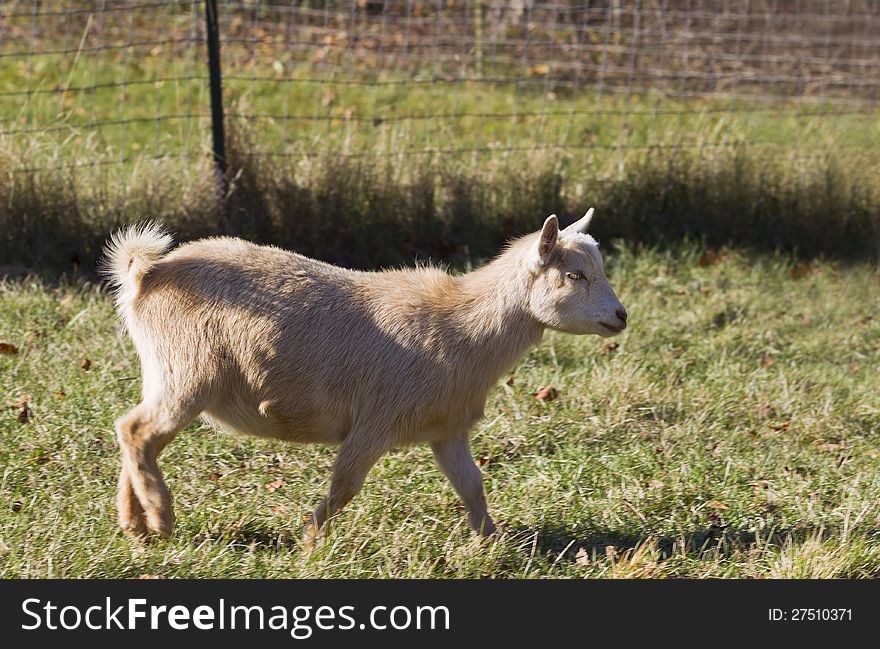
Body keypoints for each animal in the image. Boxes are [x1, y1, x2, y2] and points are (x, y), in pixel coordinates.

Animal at [103, 211, 624, 540]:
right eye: (575, 275)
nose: (621, 316)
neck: (463, 325)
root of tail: (146, 273)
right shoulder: (376, 422)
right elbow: (345, 486)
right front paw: (311, 540)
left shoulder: (447, 429)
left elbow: (472, 486)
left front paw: (493, 543)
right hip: (187, 372)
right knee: (136, 430)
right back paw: (160, 517)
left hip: (167, 373)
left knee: (138, 434)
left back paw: (135, 522)